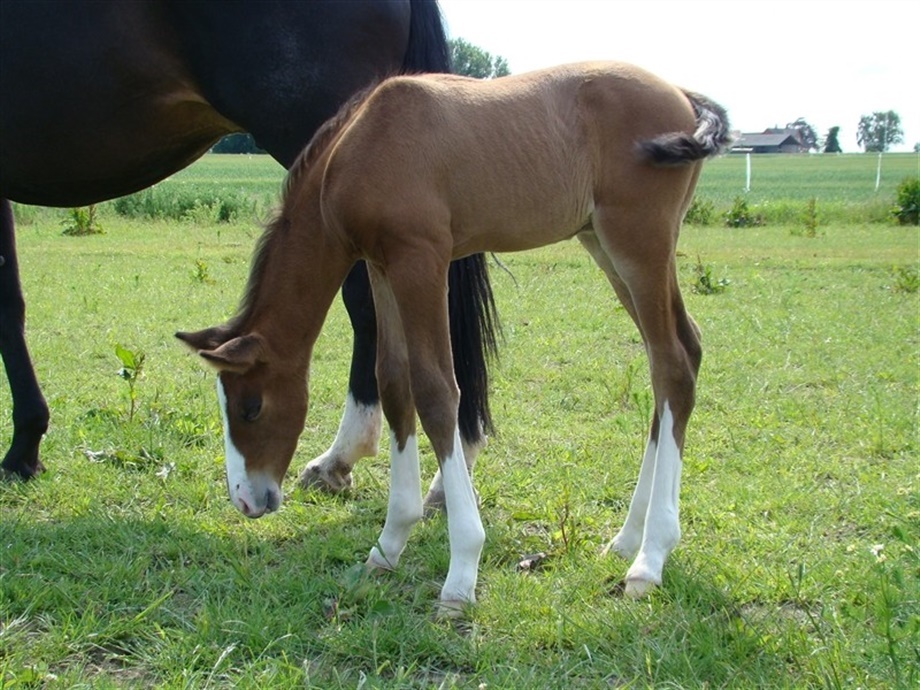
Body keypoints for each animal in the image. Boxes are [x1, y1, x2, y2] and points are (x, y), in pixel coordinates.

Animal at [0, 0, 498, 509]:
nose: (245, 497)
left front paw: (23, 449)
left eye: (252, 408)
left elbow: (7, 307)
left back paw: (350, 459)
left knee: (374, 309)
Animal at [178, 61, 732, 610]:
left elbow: (436, 391)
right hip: (602, 241)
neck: (359, 147)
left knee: (672, 363)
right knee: (679, 352)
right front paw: (388, 545)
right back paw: (624, 540)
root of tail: (682, 94)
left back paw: (650, 558)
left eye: (251, 407)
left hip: (638, 240)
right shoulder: (381, 265)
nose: (247, 498)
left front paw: (462, 570)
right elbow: (393, 382)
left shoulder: (421, 258)